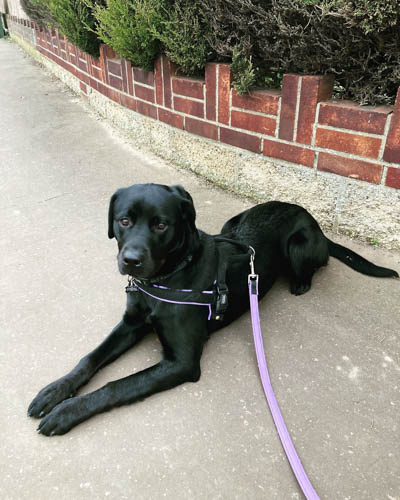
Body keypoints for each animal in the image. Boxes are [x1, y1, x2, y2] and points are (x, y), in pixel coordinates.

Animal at [27, 183, 396, 434]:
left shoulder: (181, 362)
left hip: (299, 245)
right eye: (124, 221)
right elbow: (90, 359)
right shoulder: (131, 324)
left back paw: (301, 283)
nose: (130, 261)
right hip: (236, 221)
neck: (166, 278)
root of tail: (308, 215)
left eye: (161, 225)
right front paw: (55, 391)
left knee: (313, 266)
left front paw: (67, 411)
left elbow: (115, 386)